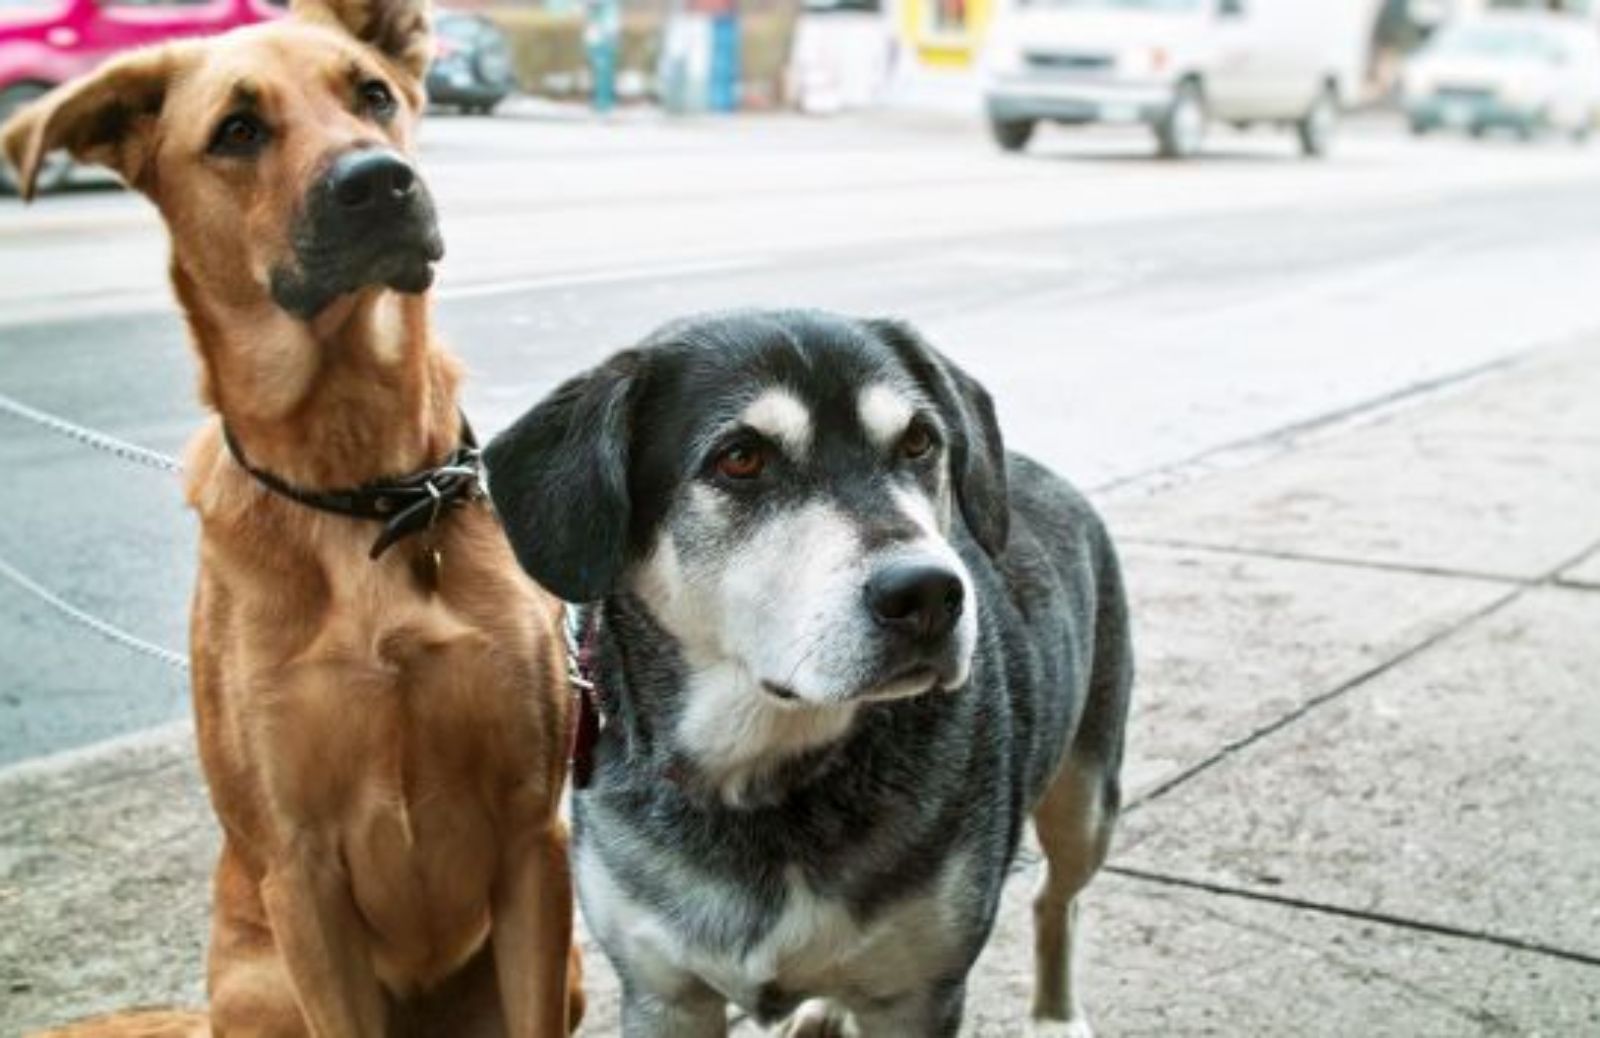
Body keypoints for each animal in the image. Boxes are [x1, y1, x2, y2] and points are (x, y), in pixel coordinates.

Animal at [4, 2, 582, 1036]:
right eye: (237, 131)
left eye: (373, 94)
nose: (381, 182)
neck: (363, 493)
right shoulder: (301, 878)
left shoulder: (532, 837)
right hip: (260, 985)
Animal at [480, 311, 1132, 1030]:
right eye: (740, 458)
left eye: (919, 441)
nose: (930, 593)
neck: (762, 777)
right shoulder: (662, 993)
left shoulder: (920, 995)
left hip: (1087, 798)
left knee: (1057, 895)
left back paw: (1055, 1014)